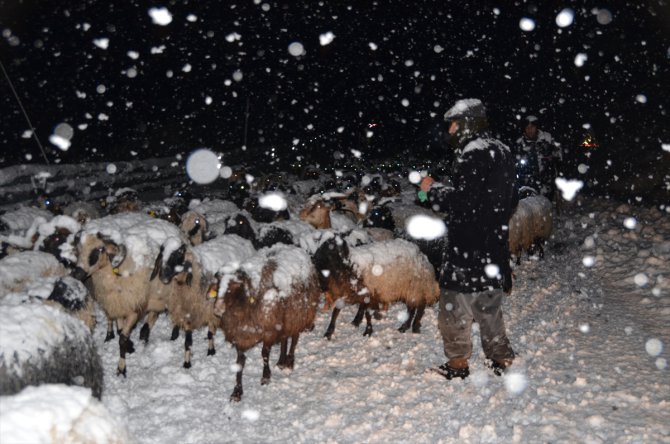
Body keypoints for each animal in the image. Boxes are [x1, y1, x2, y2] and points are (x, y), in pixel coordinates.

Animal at [214, 243, 322, 402]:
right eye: (217, 286)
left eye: (234, 288)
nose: (217, 309)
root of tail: (295, 247)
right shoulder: (241, 334)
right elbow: (239, 363)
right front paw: (237, 392)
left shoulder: (269, 330)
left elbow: (264, 353)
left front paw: (266, 376)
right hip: (284, 317)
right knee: (284, 338)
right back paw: (281, 361)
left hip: (298, 314)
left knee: (294, 338)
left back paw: (290, 361)